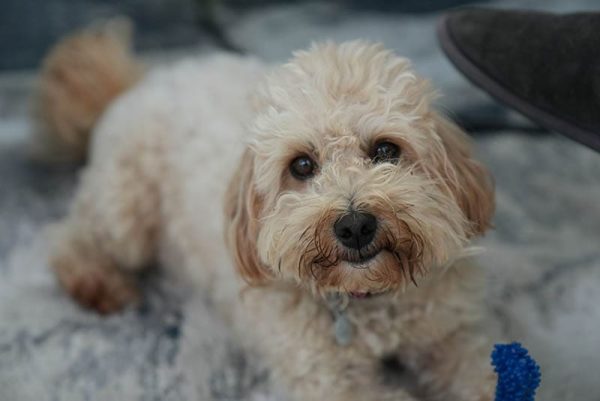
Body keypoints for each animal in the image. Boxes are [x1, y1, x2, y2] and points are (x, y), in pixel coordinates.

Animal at [38, 22, 496, 400]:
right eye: (301, 165)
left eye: (386, 150)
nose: (354, 226)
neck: (367, 302)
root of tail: (141, 82)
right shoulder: (328, 380)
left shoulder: (452, 336)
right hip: (125, 208)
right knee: (70, 235)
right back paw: (97, 283)